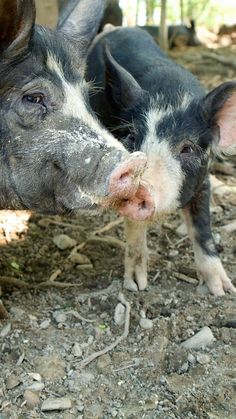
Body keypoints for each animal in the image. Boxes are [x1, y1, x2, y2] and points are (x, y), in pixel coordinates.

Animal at [86, 26, 236, 296]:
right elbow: (135, 230)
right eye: (132, 136)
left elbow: (203, 230)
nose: (141, 187)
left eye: (187, 148)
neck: (169, 93)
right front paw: (136, 286)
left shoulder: (203, 180)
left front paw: (223, 290)